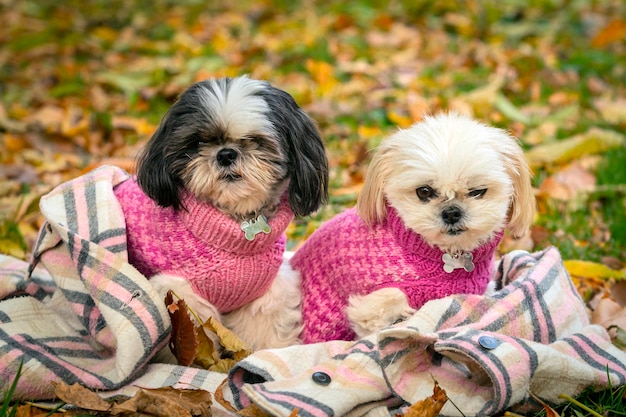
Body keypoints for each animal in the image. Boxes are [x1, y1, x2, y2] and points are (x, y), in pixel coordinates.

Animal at [112, 75, 326, 352]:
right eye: (199, 142)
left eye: (255, 140)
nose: (225, 154)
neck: (237, 225)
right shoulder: (181, 294)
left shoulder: (266, 293)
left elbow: (267, 333)